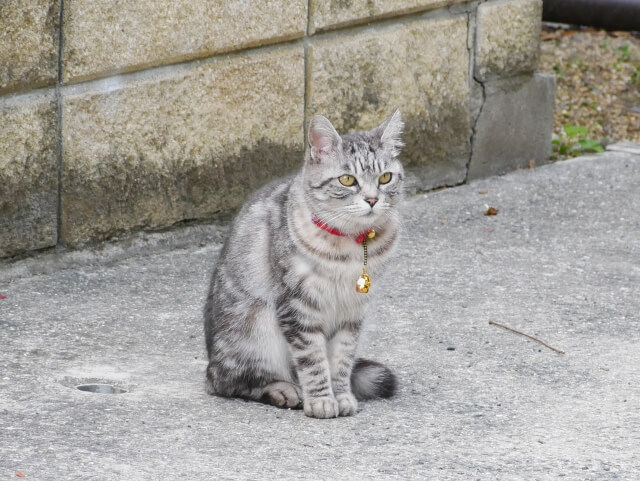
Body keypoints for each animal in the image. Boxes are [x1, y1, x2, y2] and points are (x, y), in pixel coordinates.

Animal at [205, 109, 404, 416]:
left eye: (385, 177)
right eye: (347, 180)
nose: (372, 199)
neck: (351, 247)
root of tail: (210, 360)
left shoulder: (353, 311)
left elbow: (341, 360)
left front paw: (341, 395)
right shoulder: (298, 307)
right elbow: (313, 360)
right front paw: (321, 400)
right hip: (254, 330)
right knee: (232, 382)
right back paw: (285, 390)